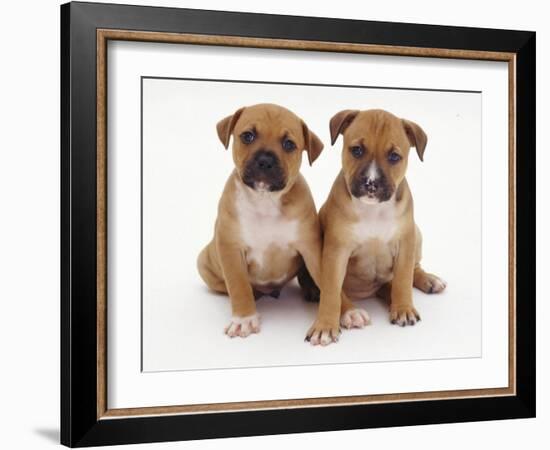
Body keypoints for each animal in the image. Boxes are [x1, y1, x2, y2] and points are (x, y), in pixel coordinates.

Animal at [198, 103, 326, 338]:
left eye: (288, 144)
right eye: (248, 136)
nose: (265, 160)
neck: (265, 200)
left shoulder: (311, 248)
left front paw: (347, 312)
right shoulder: (231, 249)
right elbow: (238, 285)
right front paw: (244, 319)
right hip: (204, 262)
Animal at [308, 108, 446, 344]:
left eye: (394, 157)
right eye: (356, 150)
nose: (371, 183)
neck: (373, 210)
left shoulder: (405, 242)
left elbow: (403, 279)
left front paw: (404, 308)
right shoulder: (337, 252)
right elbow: (332, 292)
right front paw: (325, 325)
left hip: (416, 234)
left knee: (410, 271)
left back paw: (428, 280)